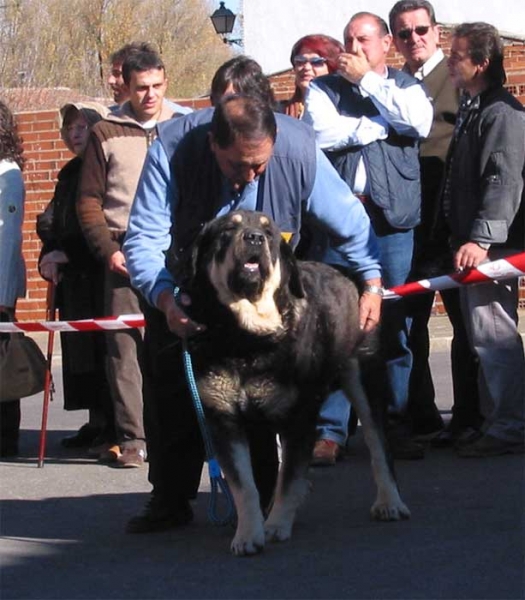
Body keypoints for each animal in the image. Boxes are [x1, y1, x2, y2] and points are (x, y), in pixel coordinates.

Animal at [181, 212, 410, 556]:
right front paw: (248, 534)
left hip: (364, 380)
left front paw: (276, 525)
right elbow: (244, 486)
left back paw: (390, 502)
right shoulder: (223, 420)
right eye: (229, 228)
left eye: (269, 233)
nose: (253, 238)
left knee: (379, 447)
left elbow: (288, 477)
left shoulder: (297, 418)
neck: (246, 340)